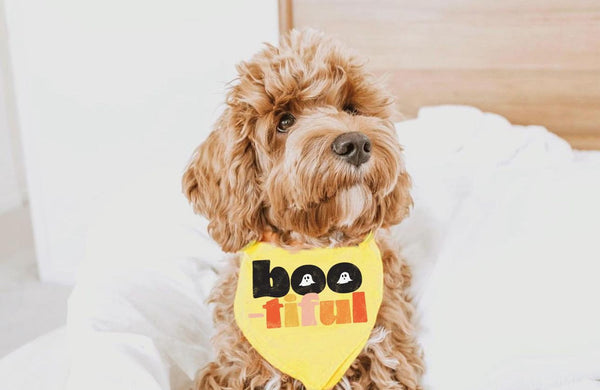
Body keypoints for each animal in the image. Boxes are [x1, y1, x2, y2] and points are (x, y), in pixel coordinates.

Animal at [183, 29, 422, 388]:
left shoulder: (388, 362)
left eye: (351, 107)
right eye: (284, 121)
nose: (356, 143)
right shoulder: (234, 369)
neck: (315, 248)